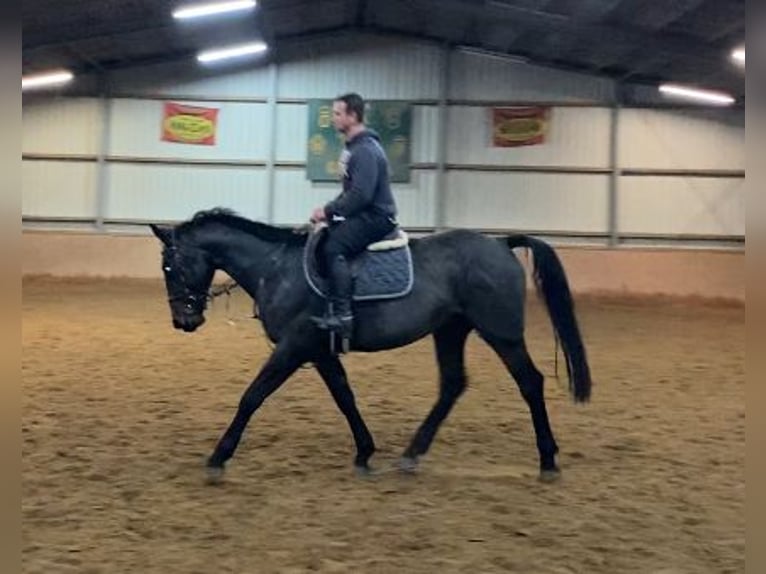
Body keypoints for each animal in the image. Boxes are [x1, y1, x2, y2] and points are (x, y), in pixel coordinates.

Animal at [152, 209, 592, 484]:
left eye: (170, 267)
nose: (183, 321)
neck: (275, 268)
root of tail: (501, 244)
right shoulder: (319, 351)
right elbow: (345, 397)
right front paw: (365, 453)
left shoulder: (295, 346)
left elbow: (252, 396)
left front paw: (218, 457)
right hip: (451, 330)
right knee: (452, 384)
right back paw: (412, 454)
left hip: (501, 333)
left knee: (530, 383)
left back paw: (548, 460)